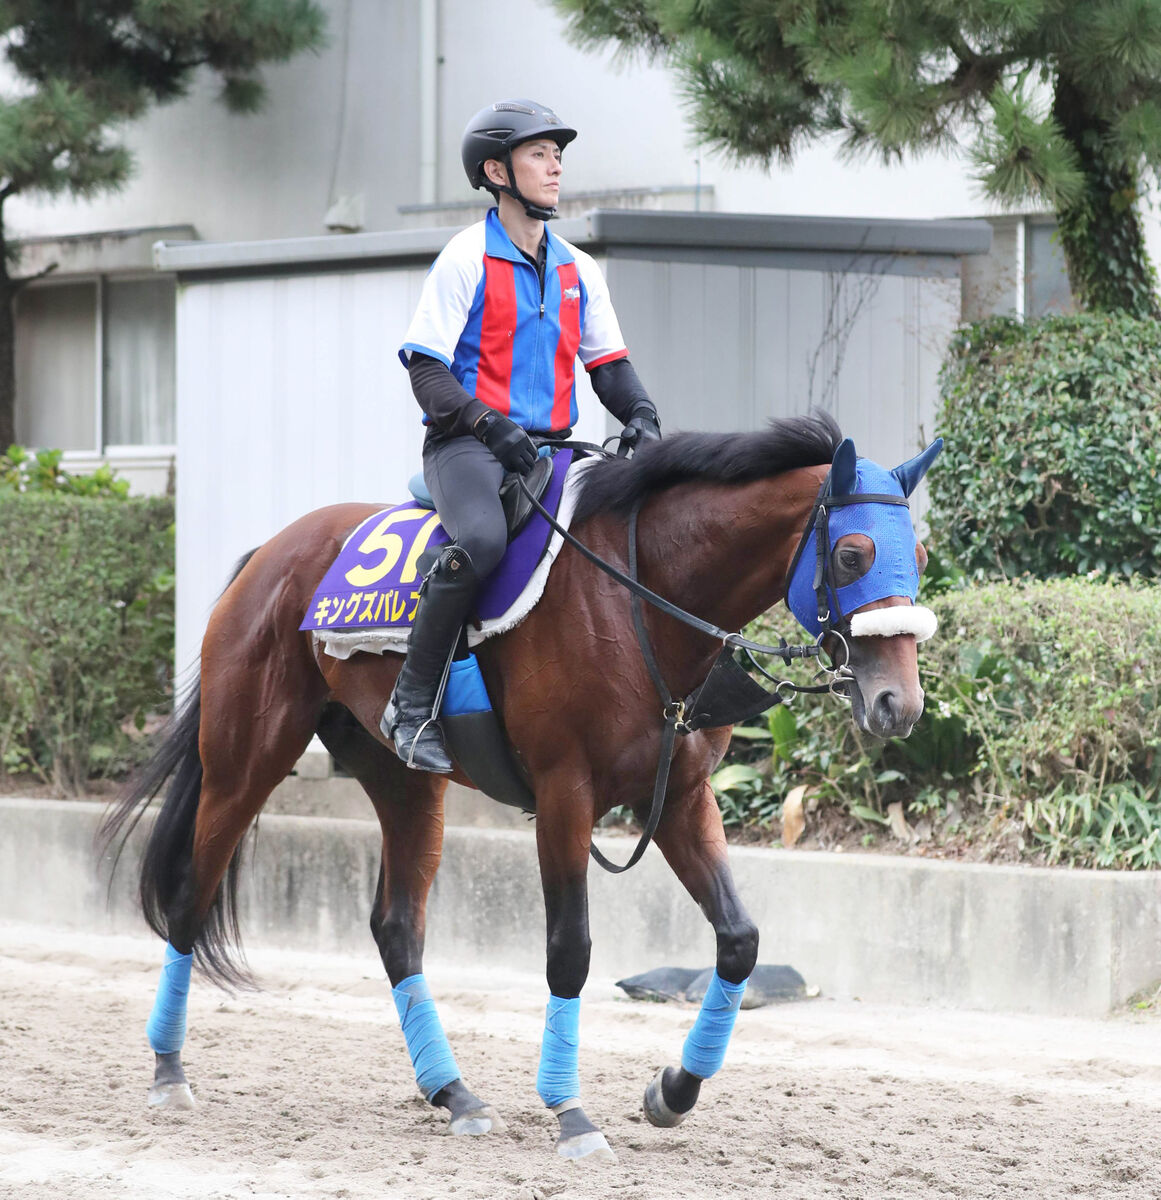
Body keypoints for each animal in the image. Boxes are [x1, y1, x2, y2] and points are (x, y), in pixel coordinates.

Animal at [95, 412, 940, 1161]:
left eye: (921, 554)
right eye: (853, 555)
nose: (898, 705)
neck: (637, 598)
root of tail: (270, 551)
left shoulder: (680, 797)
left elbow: (738, 941)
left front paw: (672, 1091)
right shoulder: (565, 796)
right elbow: (570, 950)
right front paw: (570, 1113)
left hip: (405, 783)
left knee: (396, 927)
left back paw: (454, 1094)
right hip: (246, 760)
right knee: (190, 895)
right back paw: (168, 1072)